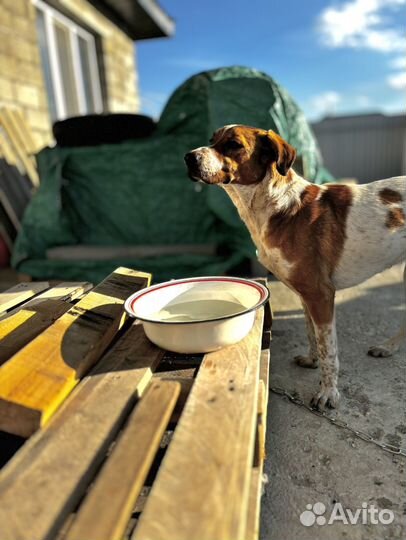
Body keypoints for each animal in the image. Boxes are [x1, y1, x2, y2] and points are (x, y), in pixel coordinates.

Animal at [185, 123, 406, 410]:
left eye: (233, 144)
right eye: (212, 140)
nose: (188, 157)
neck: (277, 205)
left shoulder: (321, 294)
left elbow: (329, 349)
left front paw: (329, 393)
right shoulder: (305, 294)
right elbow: (313, 335)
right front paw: (312, 360)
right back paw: (388, 348)